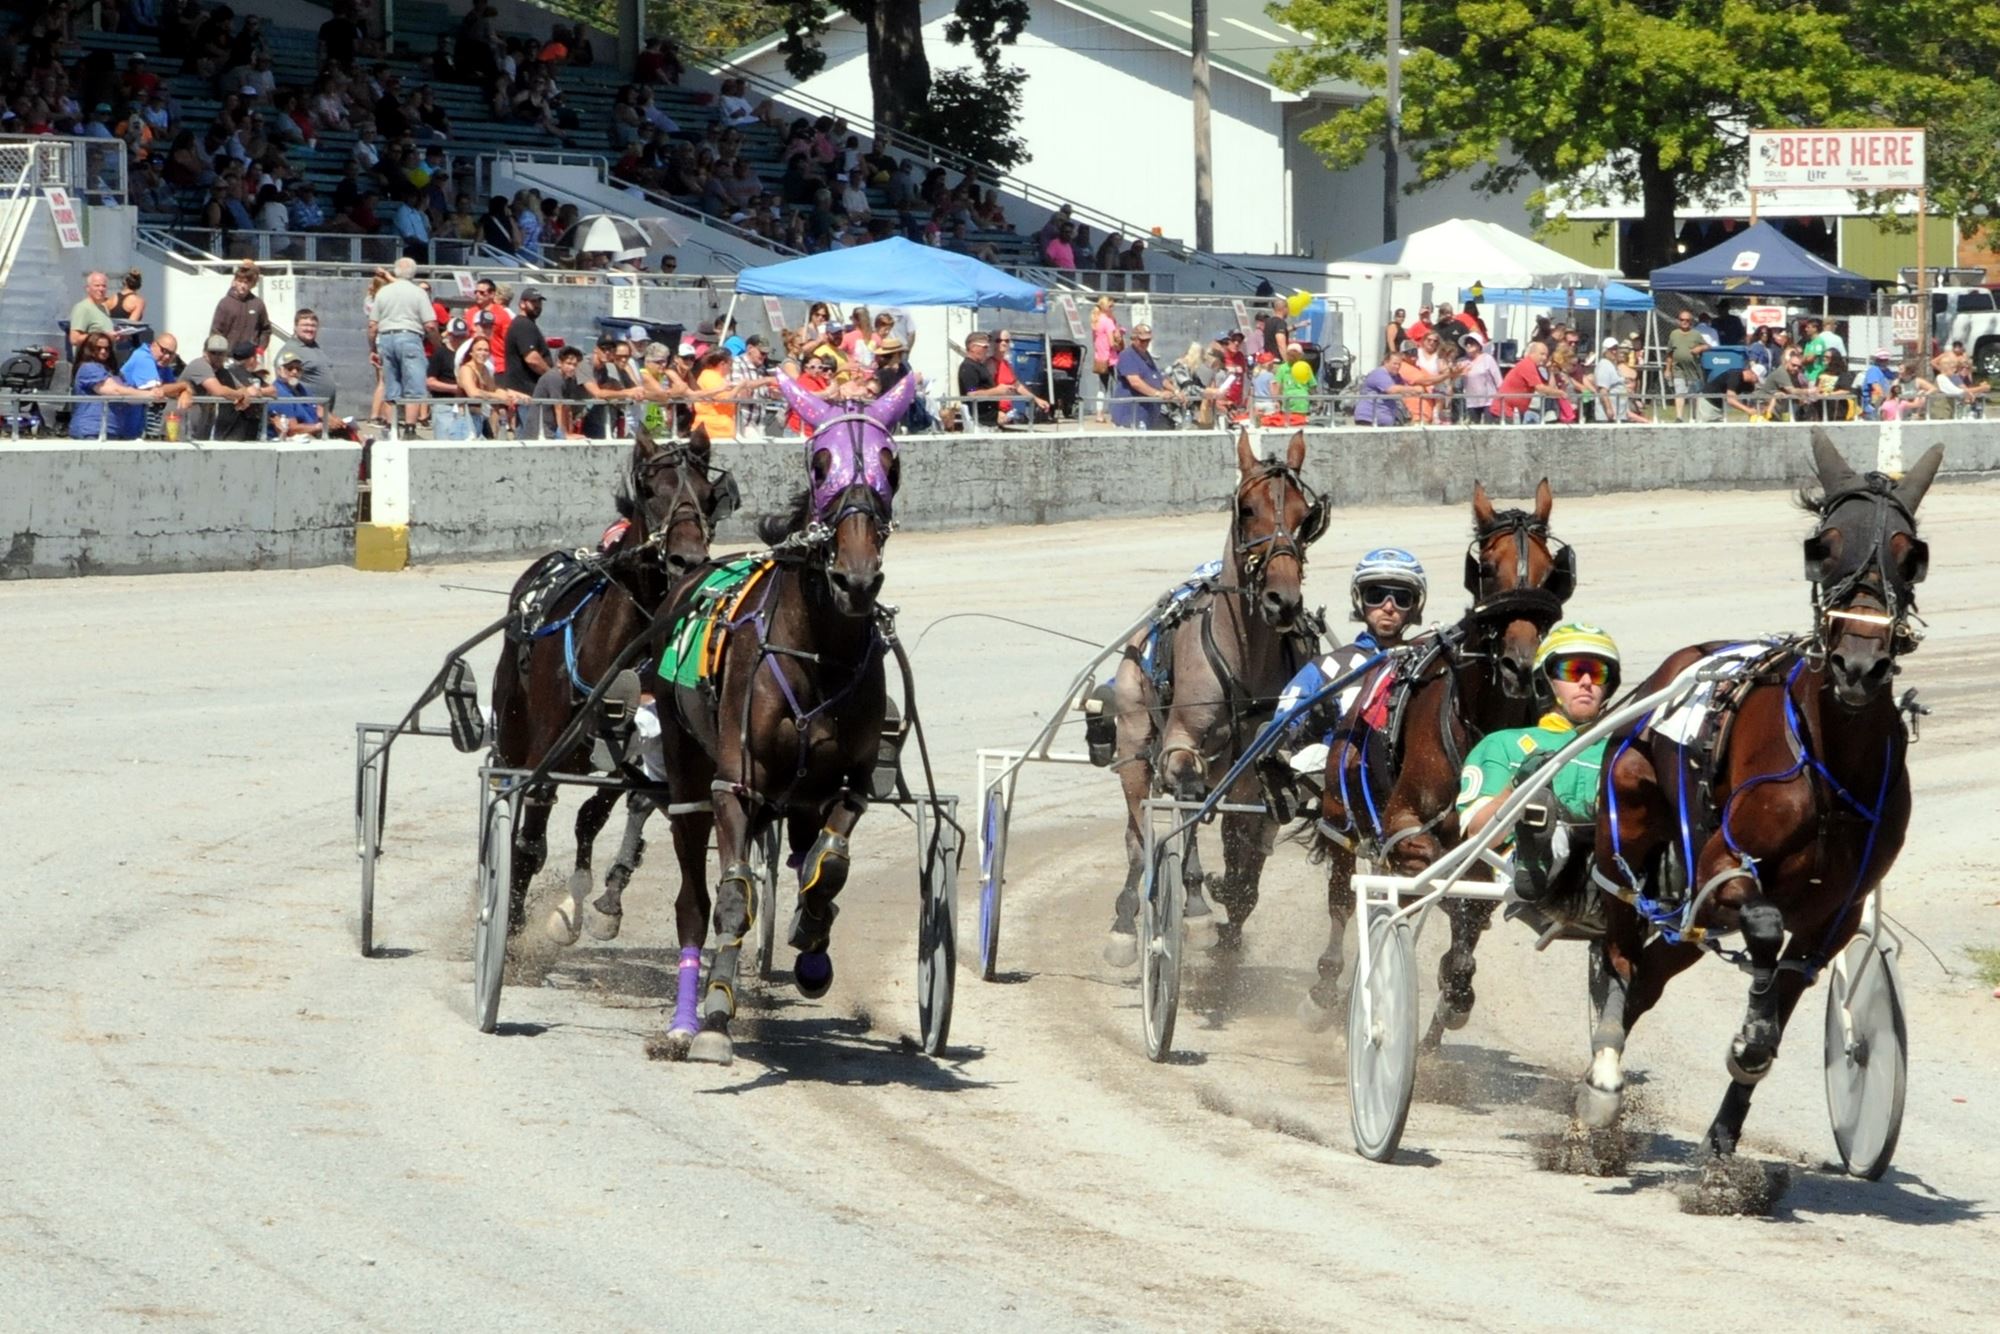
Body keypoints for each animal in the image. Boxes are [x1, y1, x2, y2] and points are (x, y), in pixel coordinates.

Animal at [488, 426, 740, 940]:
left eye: (708, 496)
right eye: (650, 491)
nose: (687, 560)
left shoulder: (637, 751)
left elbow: (594, 815)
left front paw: (593, 904)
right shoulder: (546, 749)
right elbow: (530, 838)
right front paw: (514, 920)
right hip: (513, 729)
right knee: (510, 786)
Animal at [640, 368, 936, 1064]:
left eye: (891, 463)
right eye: (820, 462)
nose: (856, 579)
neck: (818, 650)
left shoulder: (850, 783)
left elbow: (830, 866)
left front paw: (813, 937)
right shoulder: (736, 783)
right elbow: (732, 894)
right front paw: (718, 1013)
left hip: (799, 794)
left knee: (804, 852)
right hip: (688, 772)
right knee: (694, 899)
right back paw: (686, 1018)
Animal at [1096, 434, 1328, 964]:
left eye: (1305, 516)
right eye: (1247, 509)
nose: (1283, 601)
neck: (1244, 655)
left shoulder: (1254, 770)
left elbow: (1250, 842)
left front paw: (1231, 904)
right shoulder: (1182, 746)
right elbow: (1182, 805)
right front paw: (1198, 906)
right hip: (1135, 741)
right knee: (1139, 835)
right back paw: (1127, 921)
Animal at [1296, 486, 1576, 1040]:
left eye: (1550, 570)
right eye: (1486, 566)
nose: (1519, 665)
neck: (1479, 725)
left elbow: (1473, 911)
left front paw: (1454, 993)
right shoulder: (1405, 823)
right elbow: (1422, 872)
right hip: (1341, 812)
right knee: (1342, 894)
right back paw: (1331, 979)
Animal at [1576, 438, 1936, 1160]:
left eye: (1910, 553)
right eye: (1823, 546)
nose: (1860, 667)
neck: (1832, 767)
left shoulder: (1835, 913)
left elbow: (1788, 989)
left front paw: (1727, 1126)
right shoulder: (1722, 868)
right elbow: (1766, 925)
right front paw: (1750, 1029)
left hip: (1690, 914)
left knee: (1652, 976)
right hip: (1629, 838)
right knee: (1622, 956)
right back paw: (1602, 1080)